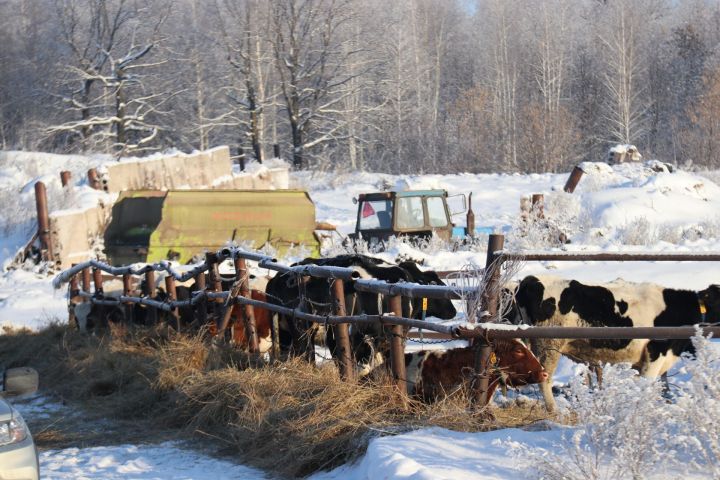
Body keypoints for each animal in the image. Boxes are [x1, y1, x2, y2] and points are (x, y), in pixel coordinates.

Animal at [506, 276, 720, 410]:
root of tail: (530, 280)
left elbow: (662, 385)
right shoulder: (655, 353)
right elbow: (648, 384)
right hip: (549, 346)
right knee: (545, 379)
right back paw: (555, 411)